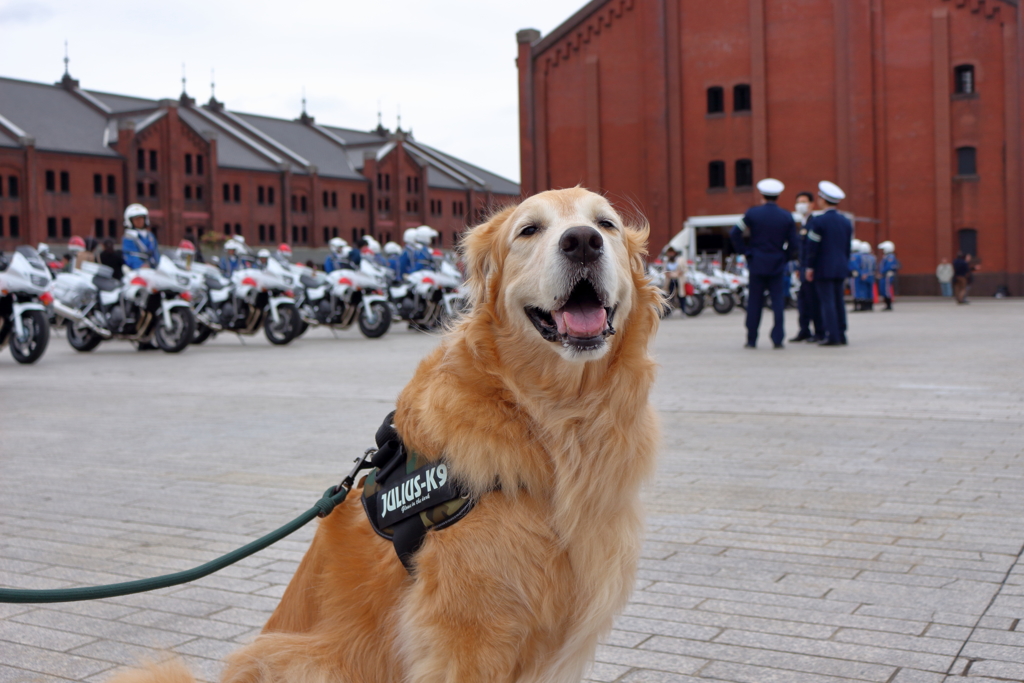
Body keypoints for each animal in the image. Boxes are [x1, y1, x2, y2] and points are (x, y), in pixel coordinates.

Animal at [110, 187, 655, 683]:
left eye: (605, 224)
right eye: (529, 230)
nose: (582, 242)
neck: (548, 418)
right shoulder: (465, 636)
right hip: (299, 658)